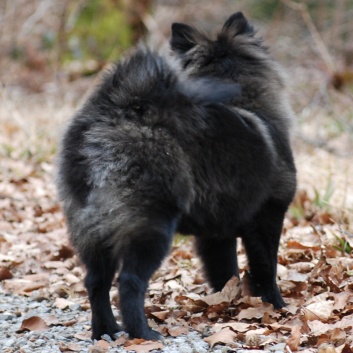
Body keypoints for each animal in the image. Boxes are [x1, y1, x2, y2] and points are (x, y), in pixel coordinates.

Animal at [56, 12, 296, 340]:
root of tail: (115, 113)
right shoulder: (267, 216)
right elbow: (266, 268)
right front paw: (276, 306)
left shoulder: (217, 234)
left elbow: (226, 273)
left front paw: (228, 305)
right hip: (150, 226)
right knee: (129, 281)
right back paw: (143, 333)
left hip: (92, 230)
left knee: (96, 282)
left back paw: (106, 331)